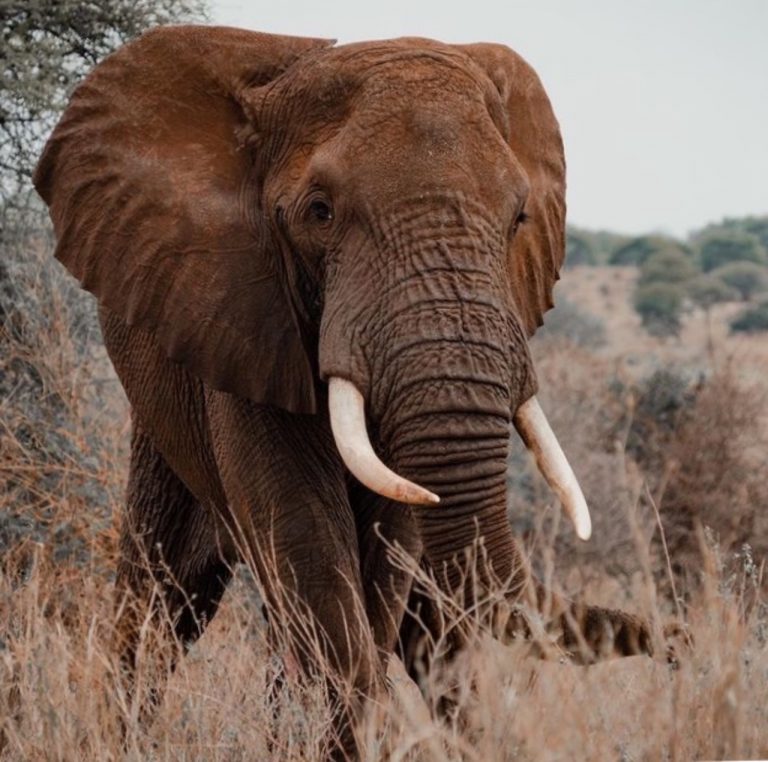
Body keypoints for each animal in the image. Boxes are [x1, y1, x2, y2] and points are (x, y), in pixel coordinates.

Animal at [34, 25, 656, 758]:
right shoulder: (243, 314)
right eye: (319, 212)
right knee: (165, 593)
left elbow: (386, 554)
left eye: (519, 218)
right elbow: (308, 543)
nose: (678, 644)